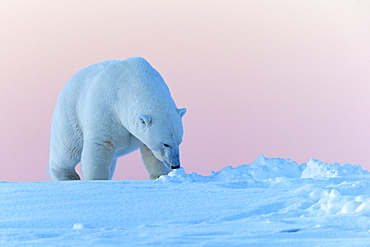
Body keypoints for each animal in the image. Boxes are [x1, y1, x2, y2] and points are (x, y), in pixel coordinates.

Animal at [48, 58, 186, 181]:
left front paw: (160, 176)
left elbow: (151, 151)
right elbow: (100, 145)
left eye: (179, 142)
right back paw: (67, 176)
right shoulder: (105, 110)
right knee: (67, 150)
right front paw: (97, 180)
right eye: (165, 143)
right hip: (70, 113)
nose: (175, 165)